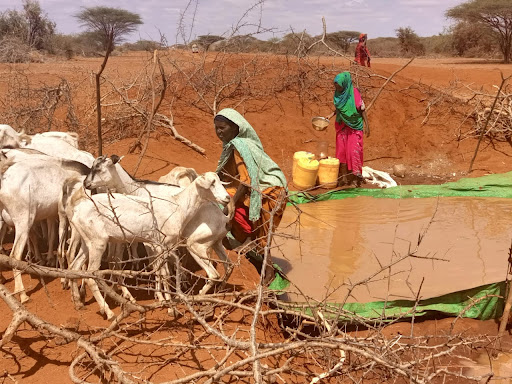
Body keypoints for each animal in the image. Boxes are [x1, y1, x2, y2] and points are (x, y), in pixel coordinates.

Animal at [66, 172, 230, 320]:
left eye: (220, 181)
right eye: (212, 183)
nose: (227, 198)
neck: (177, 206)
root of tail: (76, 211)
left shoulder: (161, 246)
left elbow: (162, 272)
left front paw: (166, 301)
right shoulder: (161, 245)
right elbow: (165, 274)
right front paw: (171, 308)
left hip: (87, 244)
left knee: (75, 267)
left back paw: (78, 303)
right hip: (98, 243)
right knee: (91, 276)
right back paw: (109, 313)